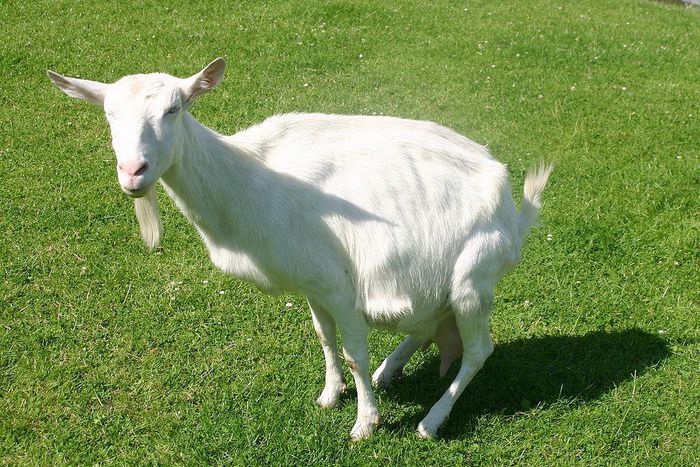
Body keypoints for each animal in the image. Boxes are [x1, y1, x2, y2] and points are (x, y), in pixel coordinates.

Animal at [47, 58, 553, 439]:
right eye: (109, 114)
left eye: (175, 107)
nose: (133, 171)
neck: (252, 177)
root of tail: (513, 210)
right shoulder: (312, 280)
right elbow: (324, 337)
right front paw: (330, 396)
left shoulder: (341, 284)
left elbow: (353, 352)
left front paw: (365, 424)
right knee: (429, 325)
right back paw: (391, 370)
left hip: (473, 276)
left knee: (478, 350)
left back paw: (431, 421)